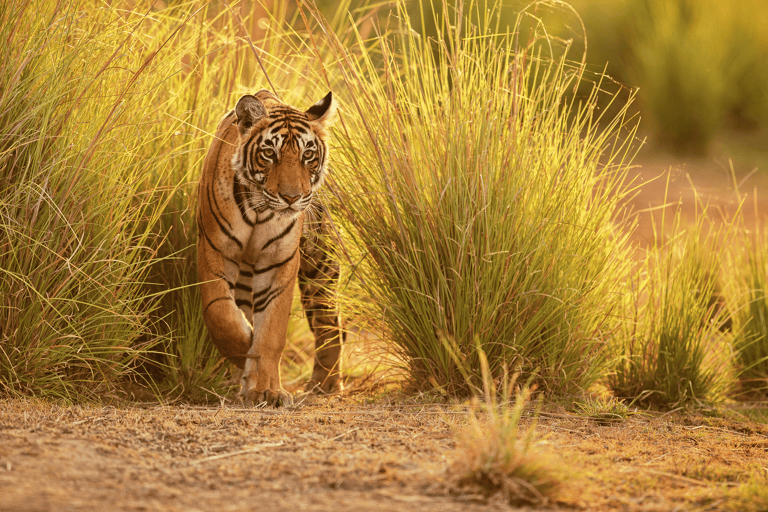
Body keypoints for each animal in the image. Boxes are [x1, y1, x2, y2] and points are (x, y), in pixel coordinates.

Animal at [196, 89, 343, 407]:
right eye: (269, 154)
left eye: (307, 155)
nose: (292, 197)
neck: (259, 210)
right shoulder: (215, 250)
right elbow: (222, 316)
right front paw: (246, 353)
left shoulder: (279, 261)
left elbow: (272, 330)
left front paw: (266, 389)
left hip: (321, 266)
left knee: (330, 323)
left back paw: (324, 384)